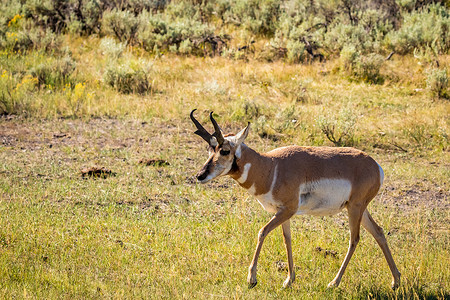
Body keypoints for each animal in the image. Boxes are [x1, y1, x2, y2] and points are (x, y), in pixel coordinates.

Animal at [190, 109, 400, 288]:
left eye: (225, 150)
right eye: (209, 150)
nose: (200, 175)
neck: (271, 166)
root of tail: (376, 166)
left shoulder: (288, 210)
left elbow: (262, 232)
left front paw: (252, 279)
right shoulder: (283, 213)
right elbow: (287, 240)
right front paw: (289, 280)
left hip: (354, 209)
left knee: (354, 239)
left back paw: (334, 283)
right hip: (359, 209)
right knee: (378, 232)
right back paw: (395, 281)